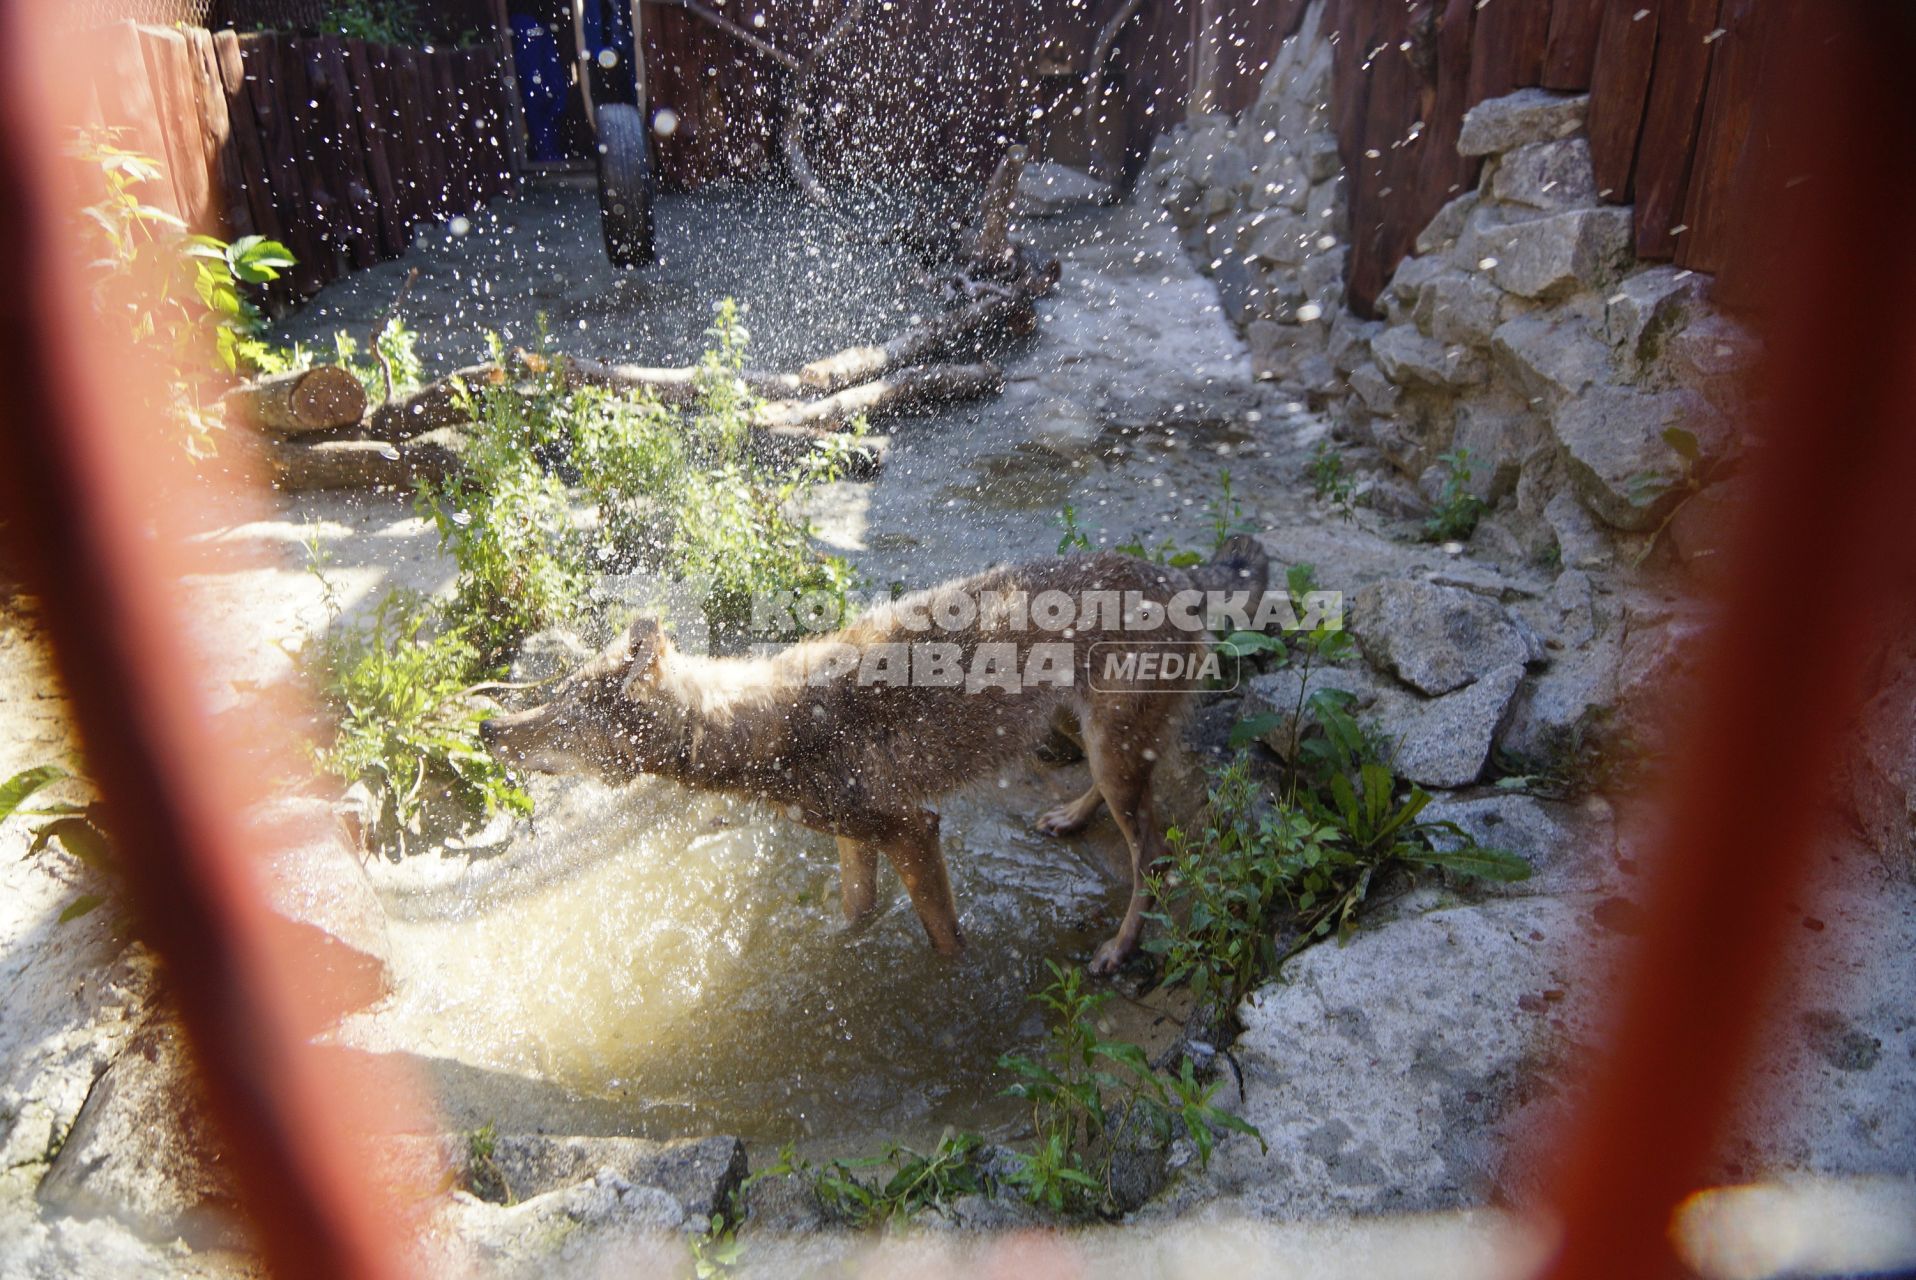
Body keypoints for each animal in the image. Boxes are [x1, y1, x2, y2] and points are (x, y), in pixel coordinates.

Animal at [482, 536, 1272, 973]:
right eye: (551, 695)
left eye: (562, 714)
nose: (489, 727)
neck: (761, 730)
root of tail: (1178, 576)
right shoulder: (856, 837)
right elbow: (854, 919)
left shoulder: (914, 830)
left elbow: (947, 944)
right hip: (1086, 733)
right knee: (1120, 811)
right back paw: (1066, 819)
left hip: (1114, 749)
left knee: (1155, 854)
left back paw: (1118, 950)